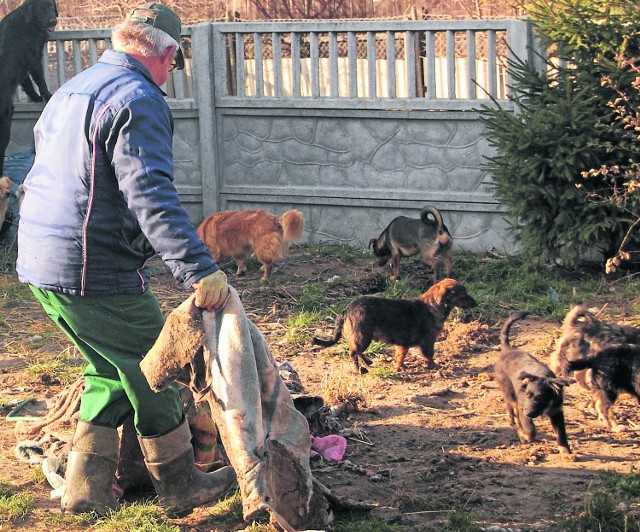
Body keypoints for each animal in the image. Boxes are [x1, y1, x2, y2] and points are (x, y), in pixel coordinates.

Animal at [312, 278, 478, 374]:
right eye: (463, 295)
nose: (476, 303)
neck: (433, 306)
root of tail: (346, 310)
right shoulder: (428, 341)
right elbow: (429, 356)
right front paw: (434, 367)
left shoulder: (402, 344)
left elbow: (400, 356)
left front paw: (400, 367)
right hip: (363, 337)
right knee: (353, 353)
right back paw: (360, 369)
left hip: (363, 338)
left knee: (356, 351)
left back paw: (368, 362)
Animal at [496, 312, 576, 458]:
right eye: (528, 395)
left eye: (541, 398)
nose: (528, 412)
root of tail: (508, 350)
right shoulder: (524, 407)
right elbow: (531, 429)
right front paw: (525, 436)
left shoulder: (557, 412)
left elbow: (561, 434)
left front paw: (566, 453)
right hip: (508, 389)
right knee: (511, 410)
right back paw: (515, 424)